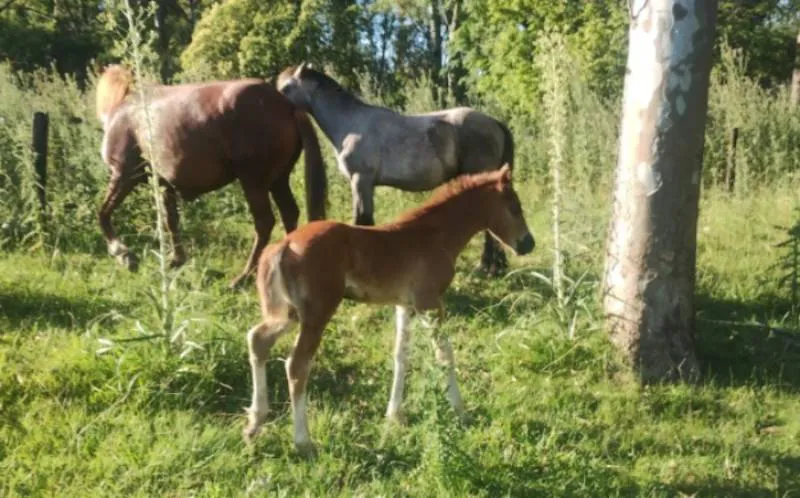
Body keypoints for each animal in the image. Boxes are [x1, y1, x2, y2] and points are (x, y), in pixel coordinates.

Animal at [95, 65, 327, 288]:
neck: (122, 112)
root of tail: (286, 105)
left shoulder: (123, 175)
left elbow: (104, 213)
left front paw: (122, 253)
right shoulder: (165, 186)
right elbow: (171, 221)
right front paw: (176, 259)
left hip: (253, 182)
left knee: (264, 223)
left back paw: (243, 277)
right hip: (278, 180)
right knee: (289, 213)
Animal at [243, 165, 534, 455]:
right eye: (515, 207)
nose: (528, 243)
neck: (434, 235)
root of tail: (283, 245)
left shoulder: (405, 305)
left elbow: (400, 355)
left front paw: (394, 415)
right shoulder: (430, 302)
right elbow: (444, 354)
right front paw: (460, 411)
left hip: (286, 314)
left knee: (258, 340)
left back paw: (255, 423)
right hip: (316, 315)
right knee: (297, 365)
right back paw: (303, 441)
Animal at [276, 63, 515, 276]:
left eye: (285, 88)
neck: (351, 125)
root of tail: (494, 123)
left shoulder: (361, 180)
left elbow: (362, 219)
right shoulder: (365, 184)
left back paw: (487, 267)